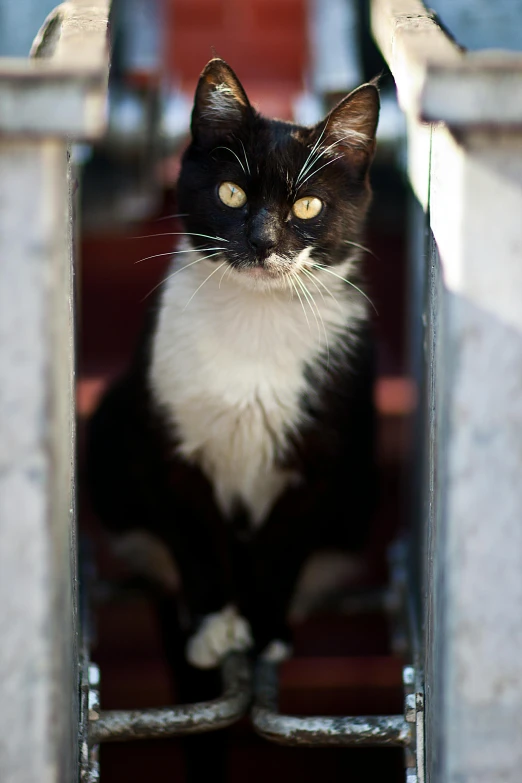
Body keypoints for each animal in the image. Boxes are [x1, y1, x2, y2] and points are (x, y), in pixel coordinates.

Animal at [86, 58, 378, 672]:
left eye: (308, 205)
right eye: (231, 193)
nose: (263, 241)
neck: (255, 318)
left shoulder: (320, 461)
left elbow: (281, 547)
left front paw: (264, 631)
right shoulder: (171, 449)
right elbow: (197, 540)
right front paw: (213, 626)